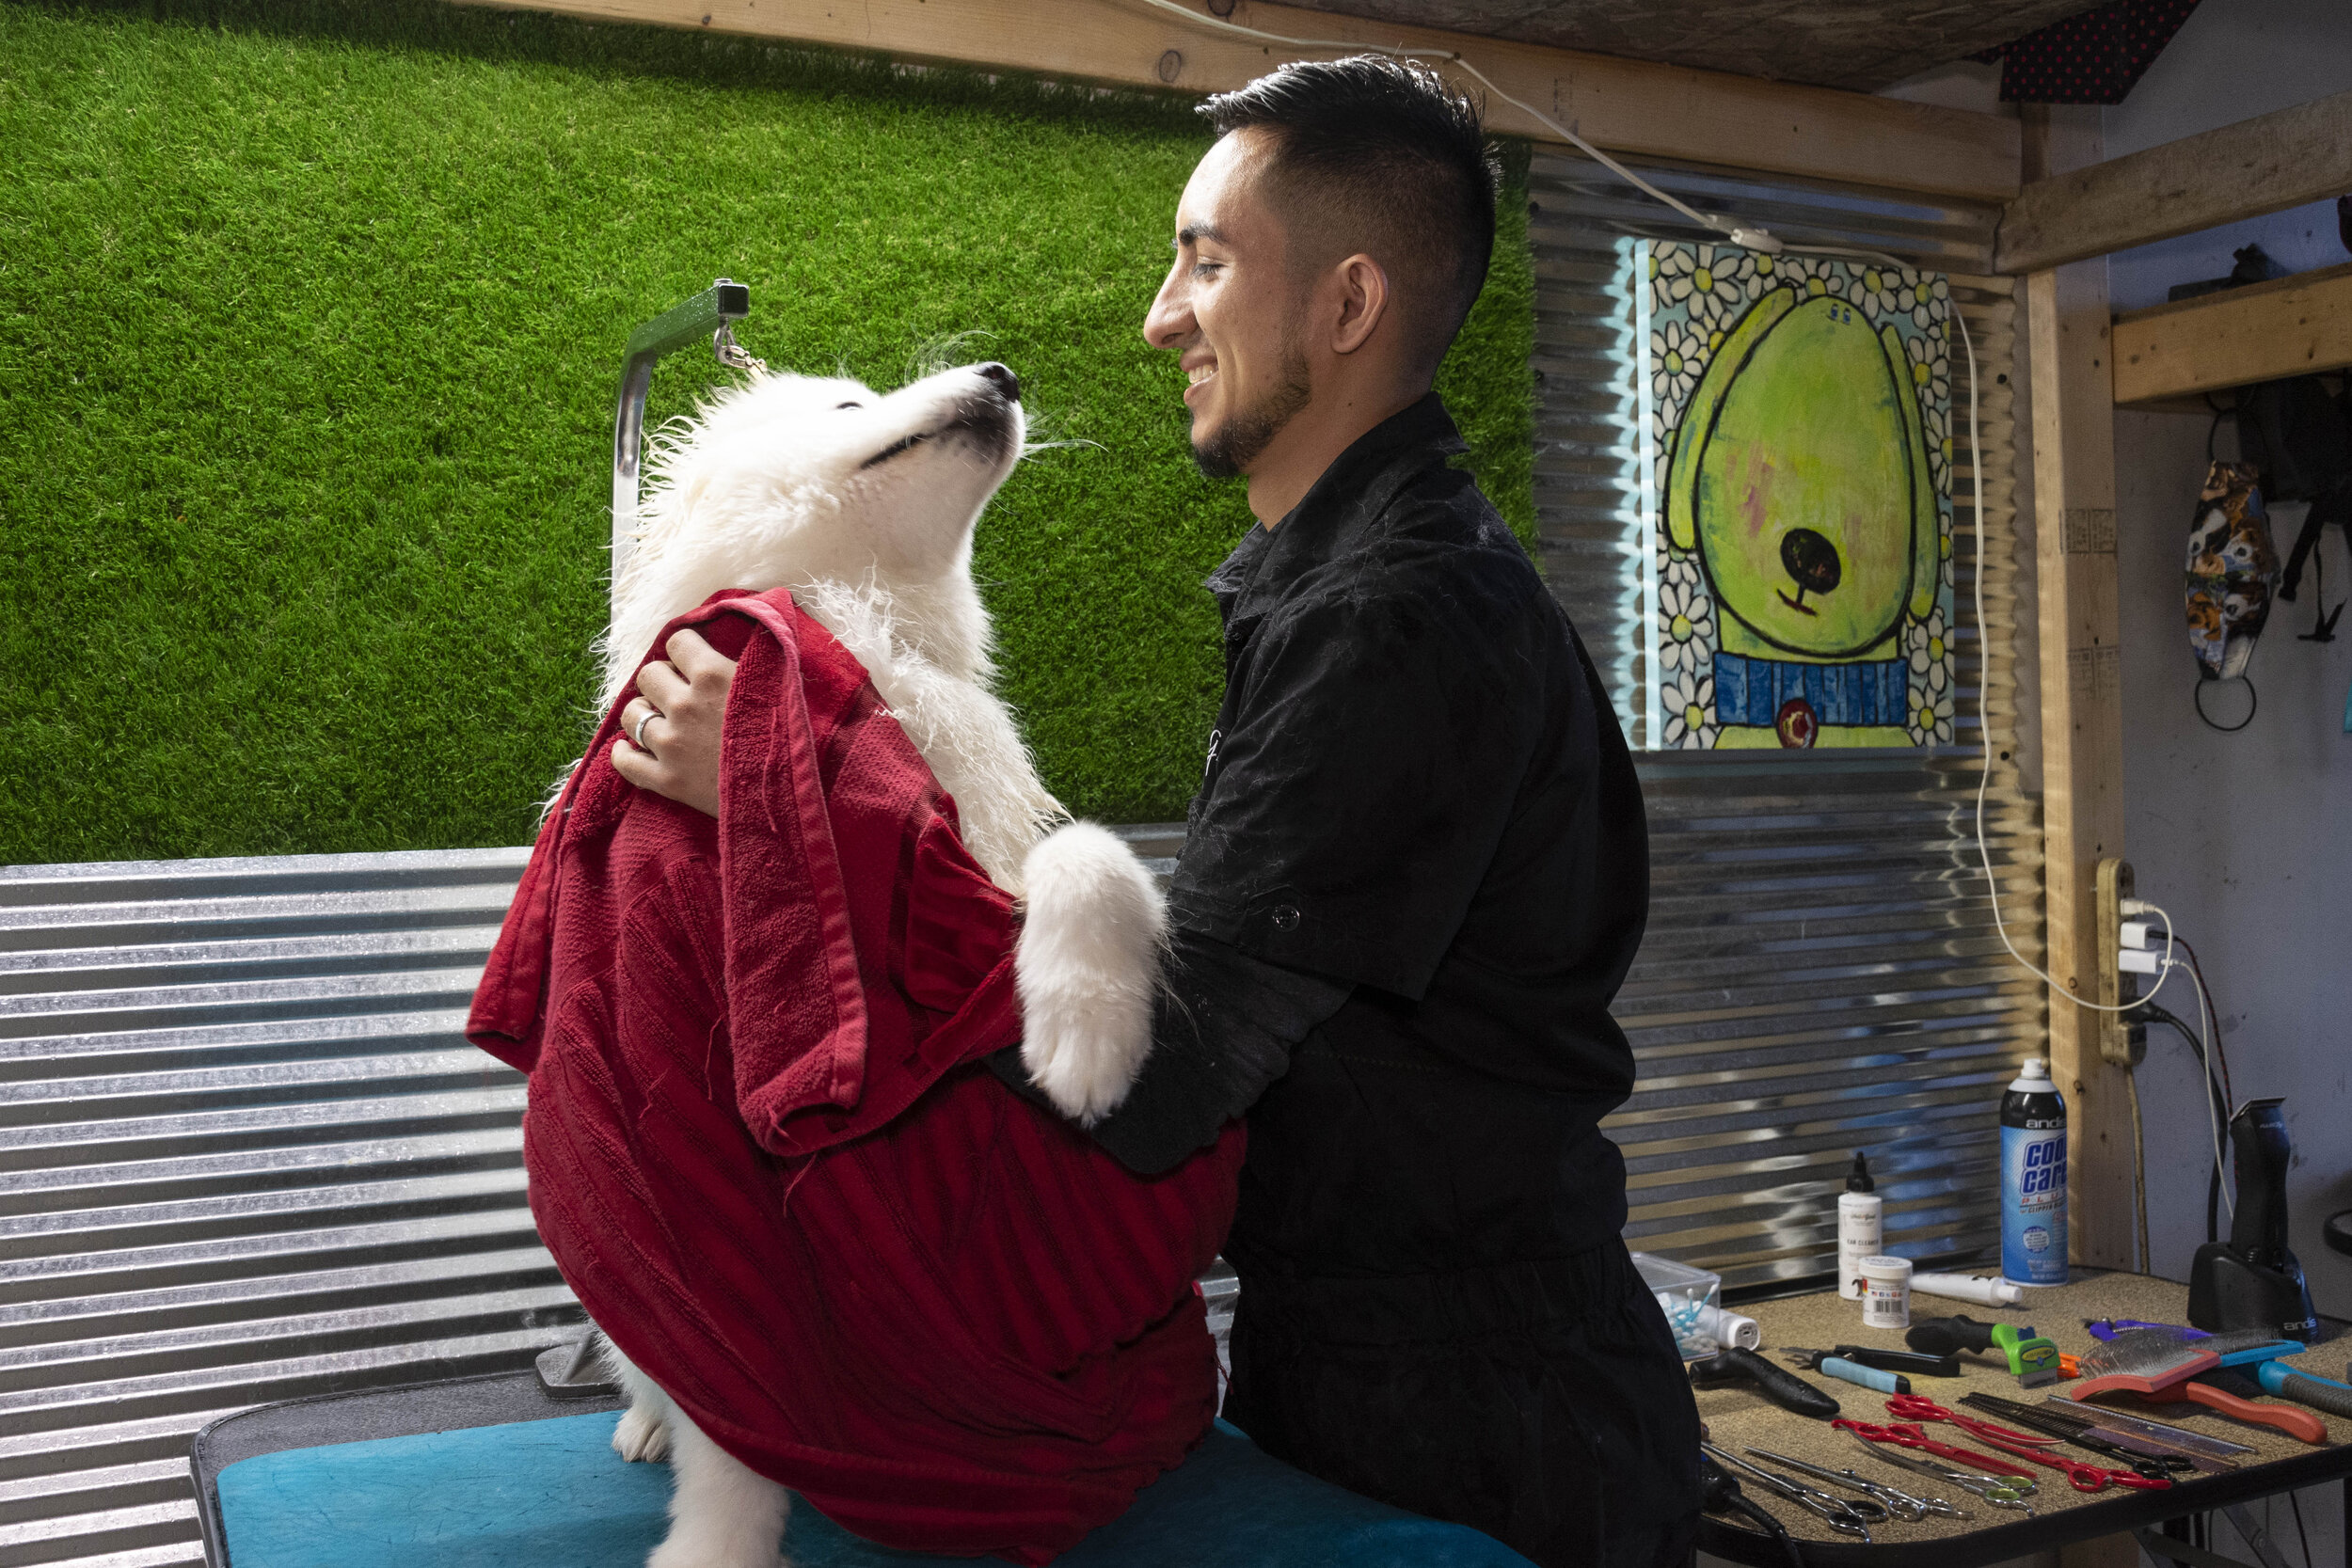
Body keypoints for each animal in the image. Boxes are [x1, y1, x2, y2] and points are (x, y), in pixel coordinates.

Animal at [588, 359, 1157, 1568]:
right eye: (848, 406)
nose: (1002, 373)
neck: (872, 629)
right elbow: (733, 1425)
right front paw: (717, 1546)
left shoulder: (997, 861)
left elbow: (1093, 855)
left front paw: (1088, 1033)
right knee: (654, 1368)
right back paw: (644, 1422)